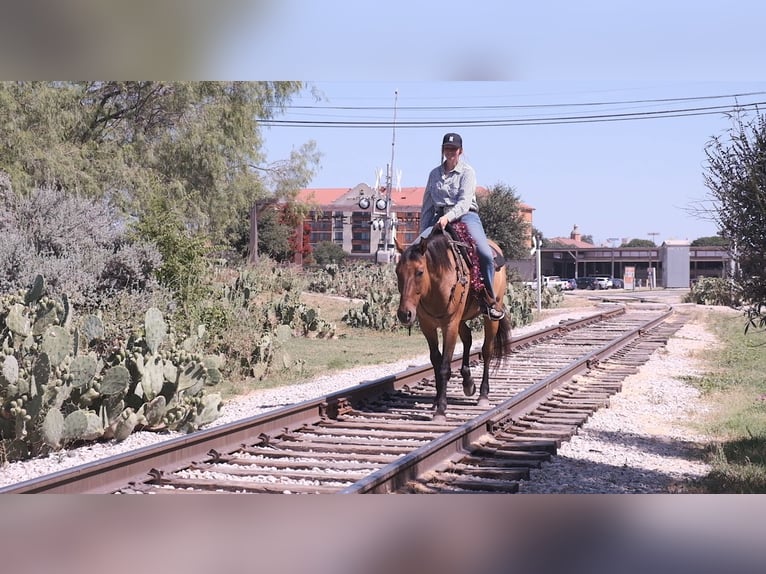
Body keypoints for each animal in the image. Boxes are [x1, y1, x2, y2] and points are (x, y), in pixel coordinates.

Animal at [392, 227, 512, 426]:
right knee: (468, 338)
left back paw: (483, 394)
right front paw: (436, 401)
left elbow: (444, 367)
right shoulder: (428, 327)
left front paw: (441, 410)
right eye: (397, 272)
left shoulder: (450, 325)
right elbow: (435, 361)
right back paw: (468, 382)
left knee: (487, 350)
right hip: (461, 320)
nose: (405, 314)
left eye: (419, 272)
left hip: (490, 317)